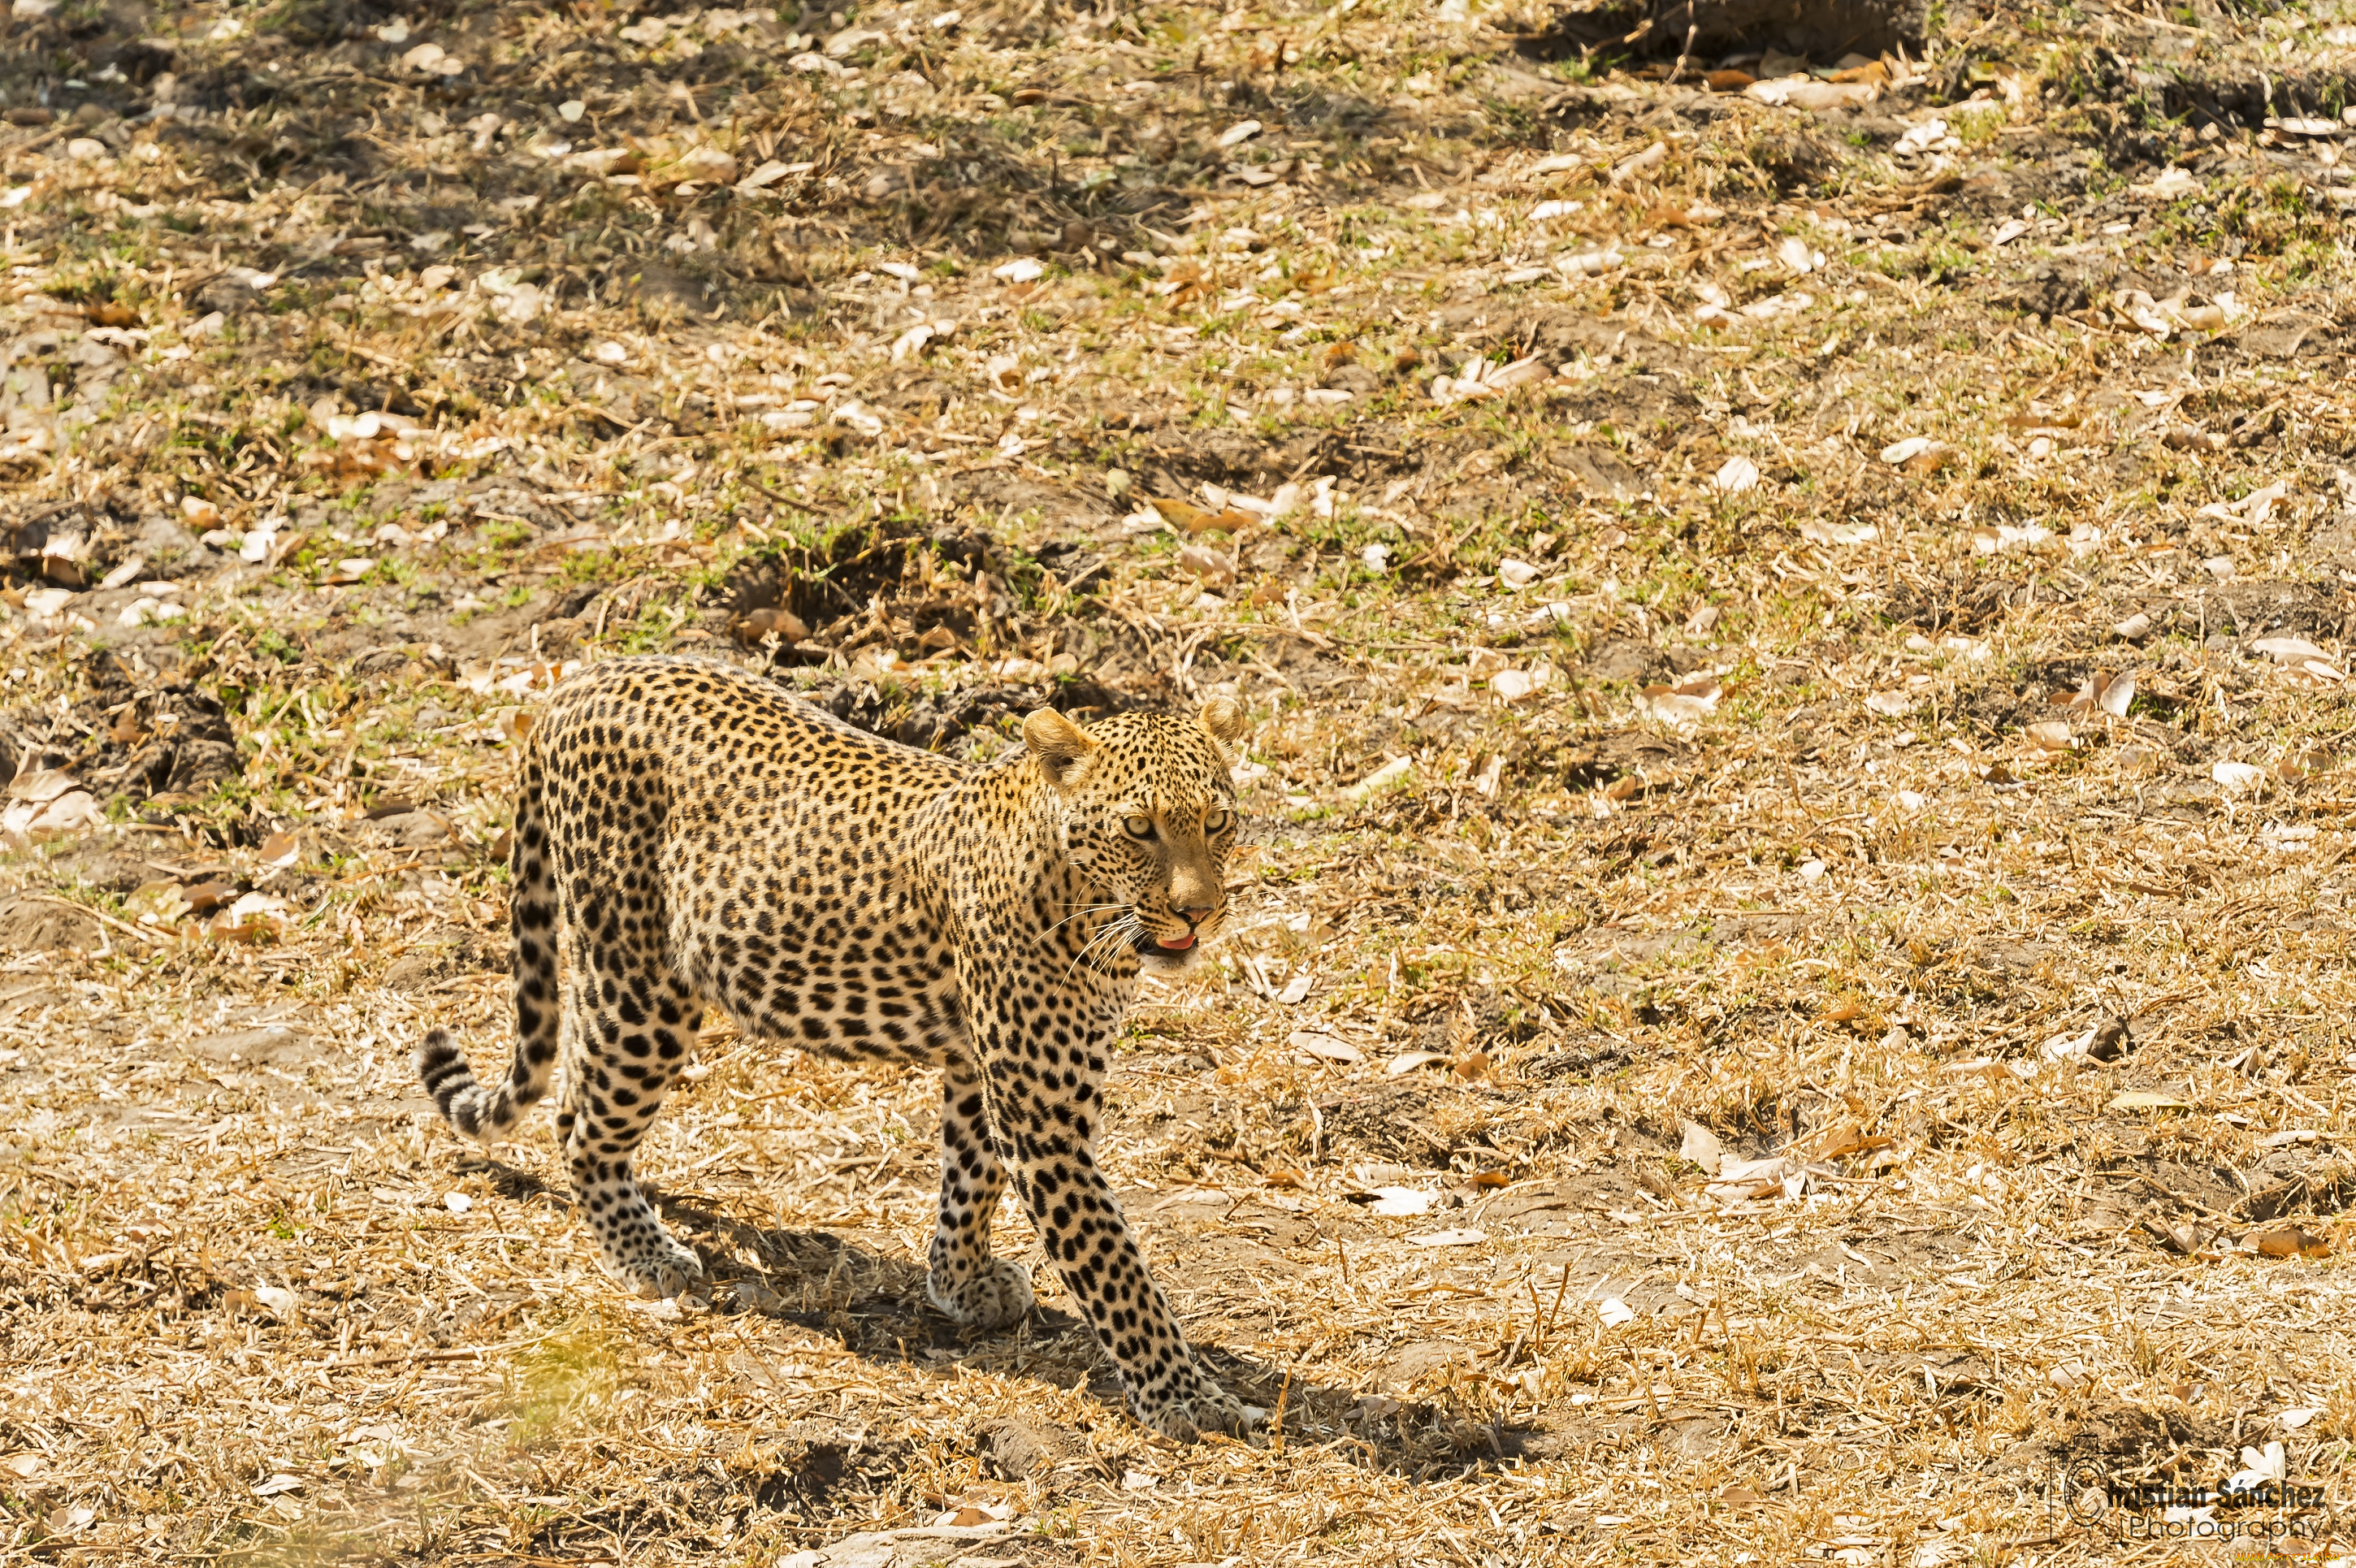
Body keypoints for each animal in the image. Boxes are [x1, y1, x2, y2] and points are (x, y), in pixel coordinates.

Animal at [419, 654, 1272, 1431]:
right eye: (1139, 828)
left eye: (1218, 822)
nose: (1200, 912)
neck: (1084, 903)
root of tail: (588, 678)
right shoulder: (1043, 1119)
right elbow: (1114, 1266)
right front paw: (1188, 1399)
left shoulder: (979, 1071)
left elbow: (969, 1180)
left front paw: (960, 1284)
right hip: (637, 982)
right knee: (582, 1122)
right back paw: (645, 1254)